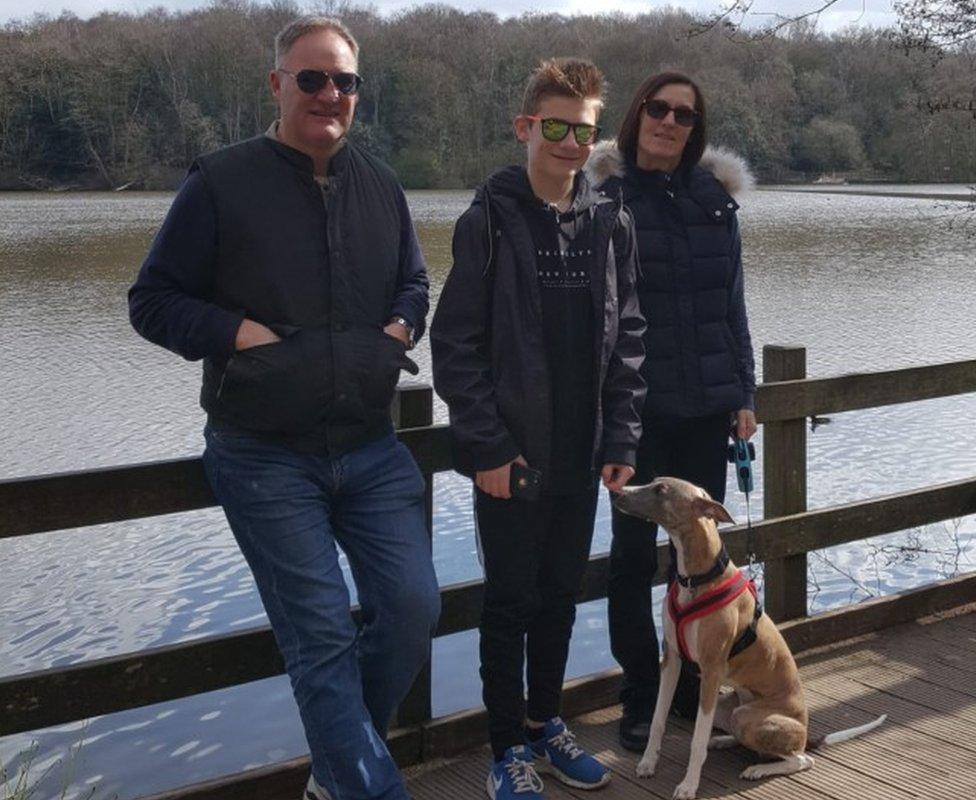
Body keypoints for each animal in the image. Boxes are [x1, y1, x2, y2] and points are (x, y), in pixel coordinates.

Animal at [616, 478, 884, 796]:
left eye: (661, 490)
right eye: (654, 483)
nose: (617, 492)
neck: (697, 578)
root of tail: (807, 733)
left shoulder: (711, 671)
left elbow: (695, 741)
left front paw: (689, 785)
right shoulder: (672, 659)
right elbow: (658, 719)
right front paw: (647, 763)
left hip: (749, 717)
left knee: (801, 759)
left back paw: (758, 769)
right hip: (727, 707)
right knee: (743, 736)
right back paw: (723, 740)